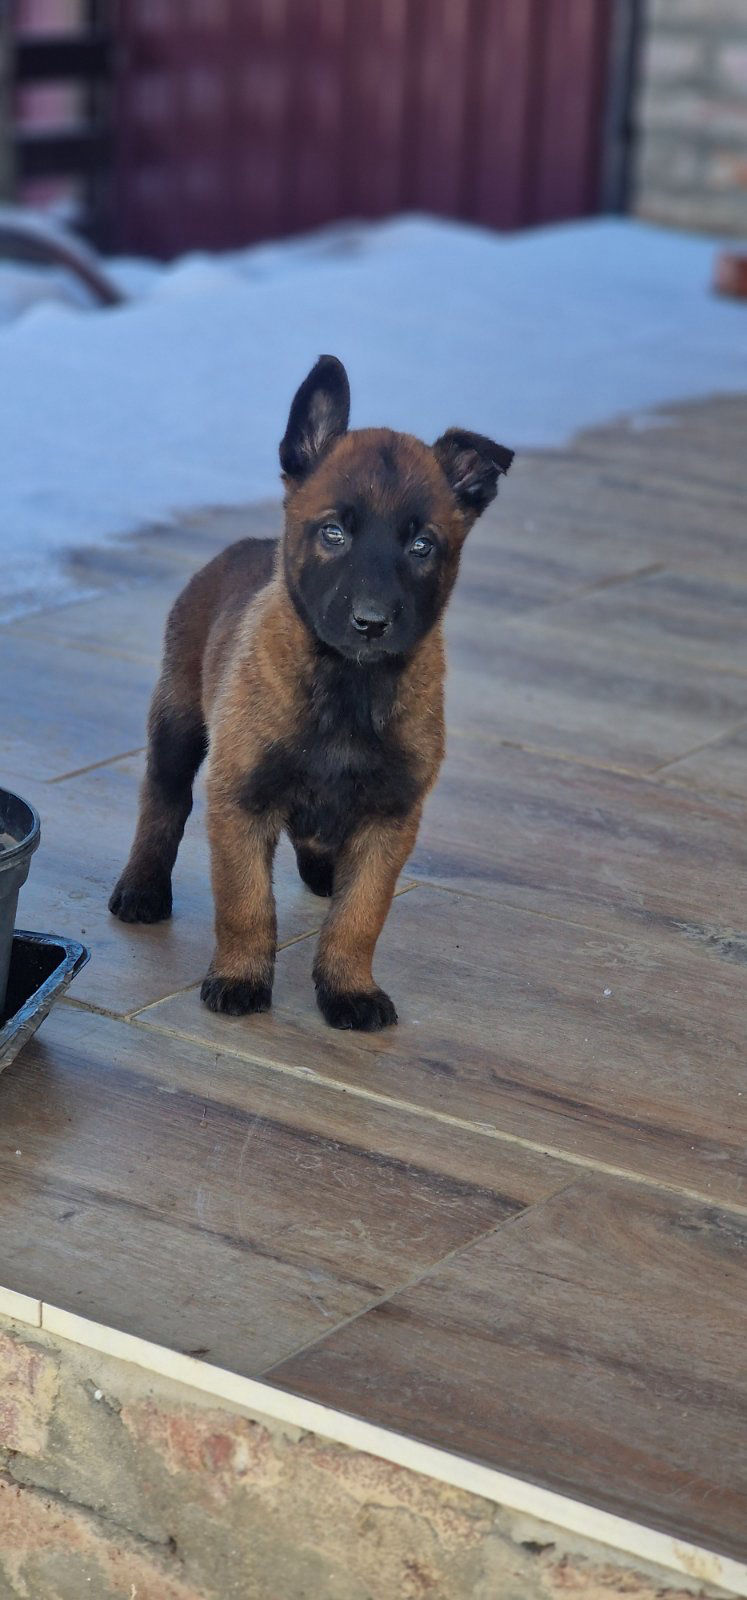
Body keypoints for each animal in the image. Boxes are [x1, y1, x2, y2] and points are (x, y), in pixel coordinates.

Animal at [110, 356, 512, 1030]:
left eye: (422, 545)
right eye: (333, 534)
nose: (372, 622)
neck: (347, 686)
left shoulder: (390, 817)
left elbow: (360, 916)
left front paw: (348, 988)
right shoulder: (240, 800)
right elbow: (246, 905)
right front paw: (241, 978)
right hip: (177, 720)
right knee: (162, 800)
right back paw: (142, 887)